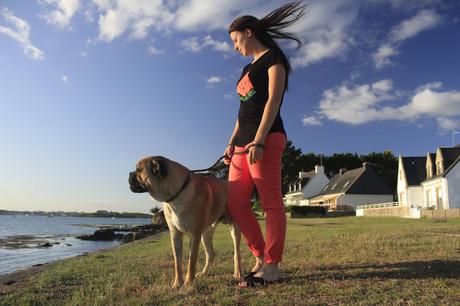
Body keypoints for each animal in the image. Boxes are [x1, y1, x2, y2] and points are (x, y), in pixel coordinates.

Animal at [127, 157, 243, 288]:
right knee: (210, 254)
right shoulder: (175, 235)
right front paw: (177, 284)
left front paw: (188, 284)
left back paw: (238, 273)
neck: (175, 196)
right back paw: (204, 273)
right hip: (206, 234)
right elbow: (177, 263)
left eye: (139, 170)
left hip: (234, 229)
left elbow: (191, 262)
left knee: (237, 253)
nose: (129, 173)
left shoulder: (195, 235)